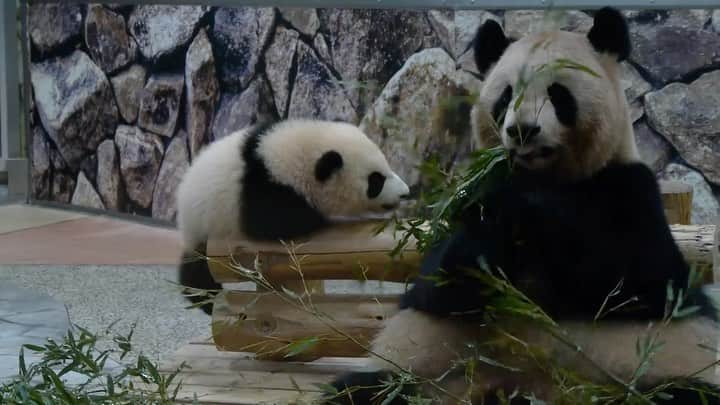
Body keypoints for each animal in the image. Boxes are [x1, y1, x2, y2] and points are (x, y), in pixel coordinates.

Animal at [176, 118, 410, 314]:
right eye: (376, 180)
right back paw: (204, 298)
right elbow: (274, 223)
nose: (405, 193)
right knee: (196, 271)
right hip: (205, 224)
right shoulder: (262, 190)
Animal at [326, 7, 720, 404]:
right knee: (364, 389)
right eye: (506, 97)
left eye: (558, 94)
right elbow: (443, 281)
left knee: (683, 392)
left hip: (653, 371)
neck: (543, 177)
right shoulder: (465, 205)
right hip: (422, 372)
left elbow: (636, 280)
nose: (523, 130)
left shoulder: (627, 189)